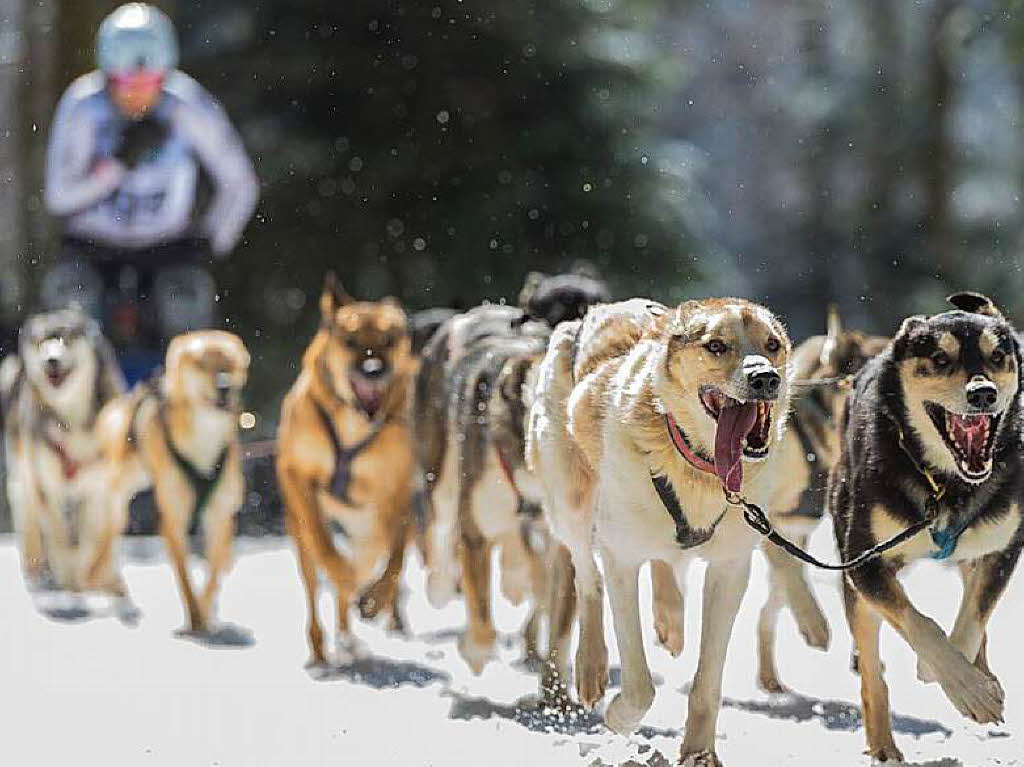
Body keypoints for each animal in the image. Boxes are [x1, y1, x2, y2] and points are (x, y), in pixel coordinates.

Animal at [1, 305, 124, 593]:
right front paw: (69, 581)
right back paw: (37, 569)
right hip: (24, 474)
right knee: (29, 517)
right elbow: (59, 541)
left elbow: (94, 542)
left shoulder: (99, 487)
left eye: (65, 338)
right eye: (40, 342)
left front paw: (93, 578)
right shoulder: (47, 485)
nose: (51, 360)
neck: (73, 418)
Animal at [276, 274, 415, 663]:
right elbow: (325, 546)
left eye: (389, 340)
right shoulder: (297, 476)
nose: (373, 371)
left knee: (370, 560)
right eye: (350, 341)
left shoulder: (397, 494)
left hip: (368, 526)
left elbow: (396, 559)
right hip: (300, 534)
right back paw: (322, 644)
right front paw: (343, 574)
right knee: (315, 579)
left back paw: (352, 627)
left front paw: (375, 598)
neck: (354, 422)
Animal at [528, 296, 790, 761]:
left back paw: (670, 616)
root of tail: (594, 311)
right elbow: (639, 685)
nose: (765, 377)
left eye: (772, 345)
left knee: (666, 561)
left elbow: (707, 683)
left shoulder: (729, 570)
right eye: (716, 346)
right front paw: (619, 718)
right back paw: (592, 665)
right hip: (571, 500)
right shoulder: (621, 558)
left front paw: (699, 753)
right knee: (587, 577)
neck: (698, 467)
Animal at [827, 290, 1019, 761]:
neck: (946, 484)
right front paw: (962, 684)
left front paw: (967, 682)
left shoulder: (1003, 548)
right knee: (872, 673)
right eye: (939, 358)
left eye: (998, 355)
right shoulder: (865, 562)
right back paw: (883, 744)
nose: (983, 393)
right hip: (856, 578)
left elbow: (970, 623)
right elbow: (921, 625)